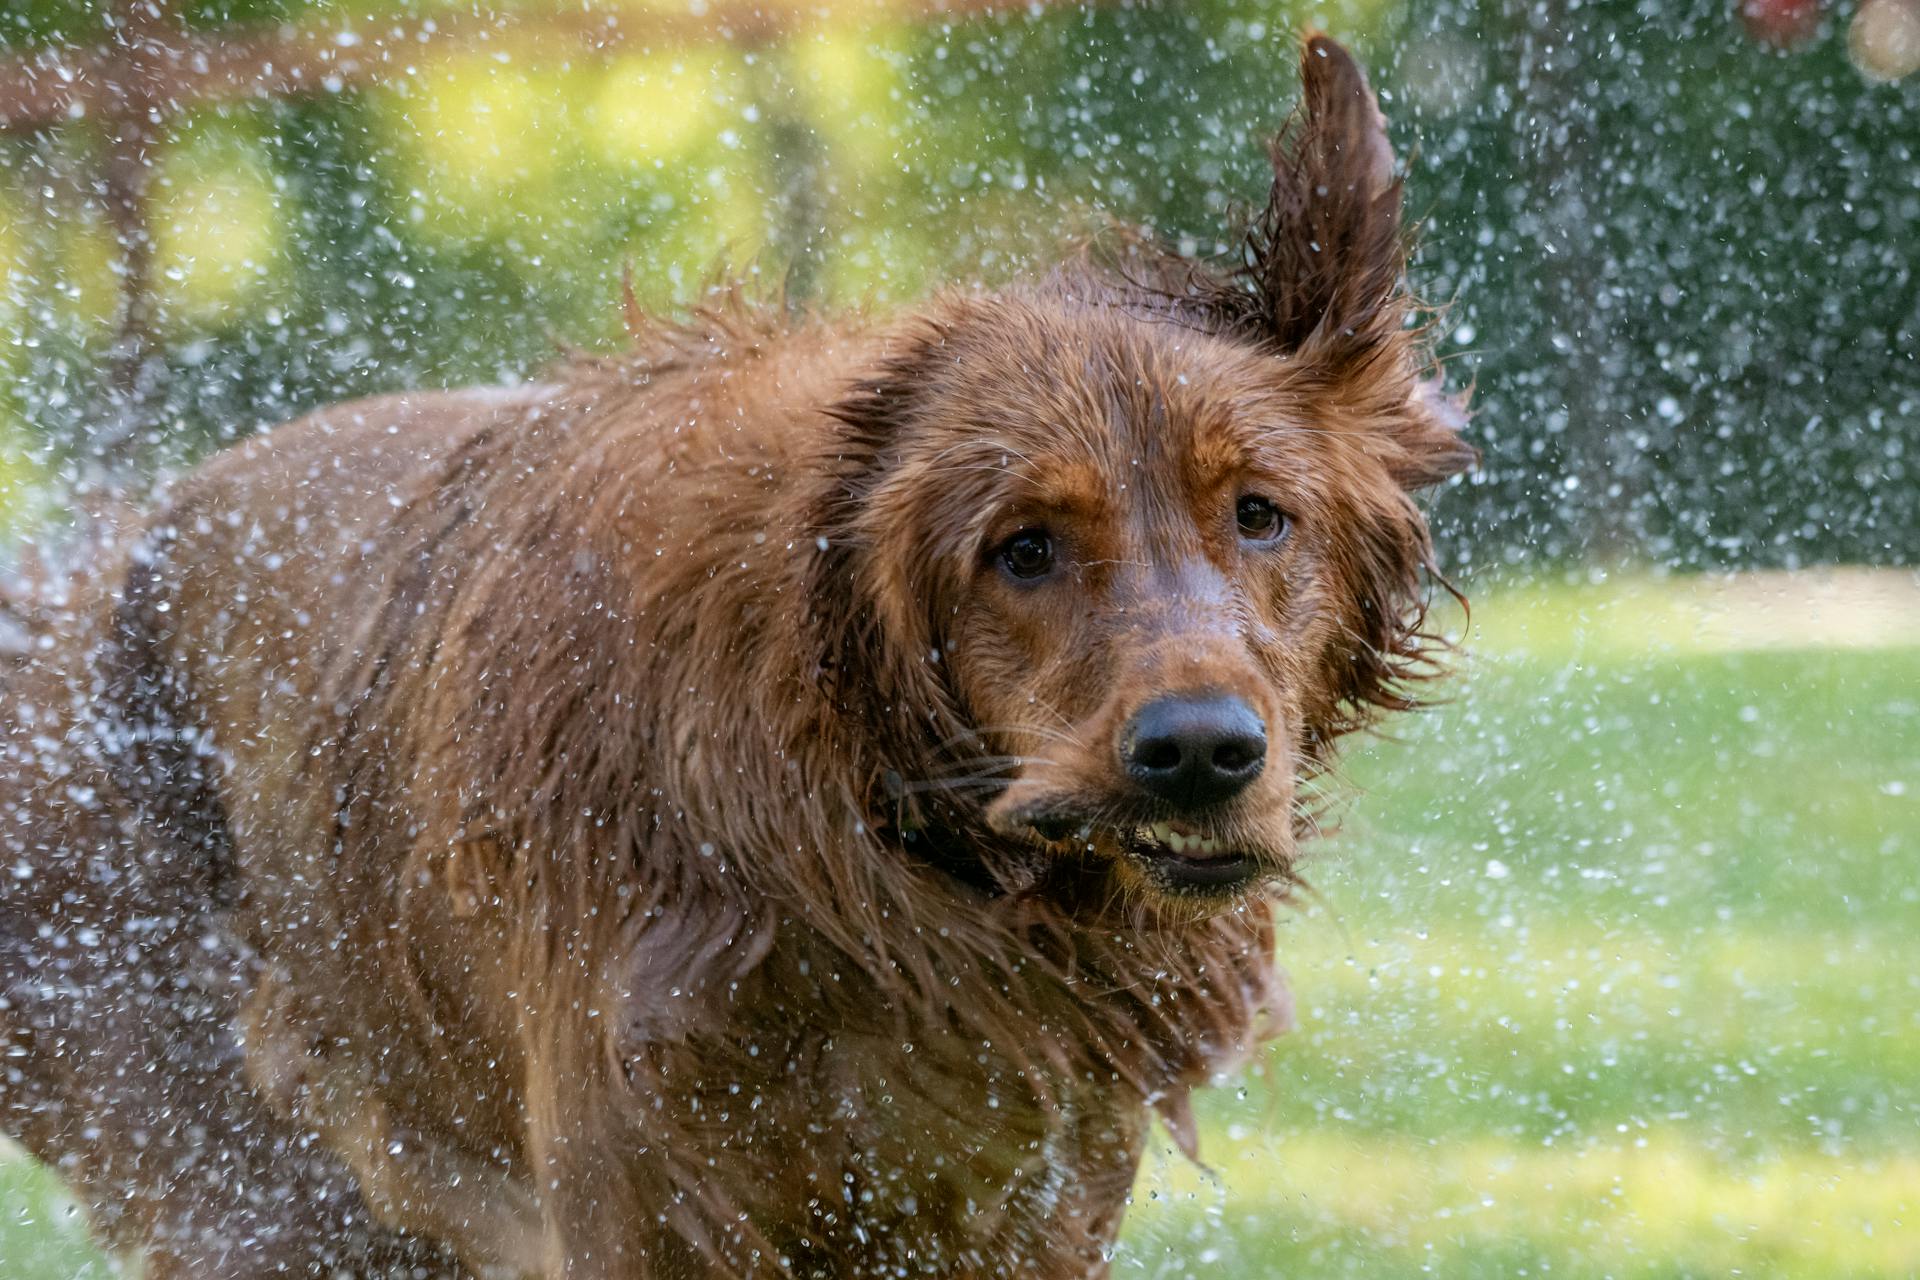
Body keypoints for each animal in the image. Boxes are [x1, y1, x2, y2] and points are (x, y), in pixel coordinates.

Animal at [0, 35, 1474, 1280]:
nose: (1201, 753)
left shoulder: (1029, 1186)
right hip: (262, 1182)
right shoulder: (640, 1186)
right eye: (1021, 548)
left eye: (1261, 513)